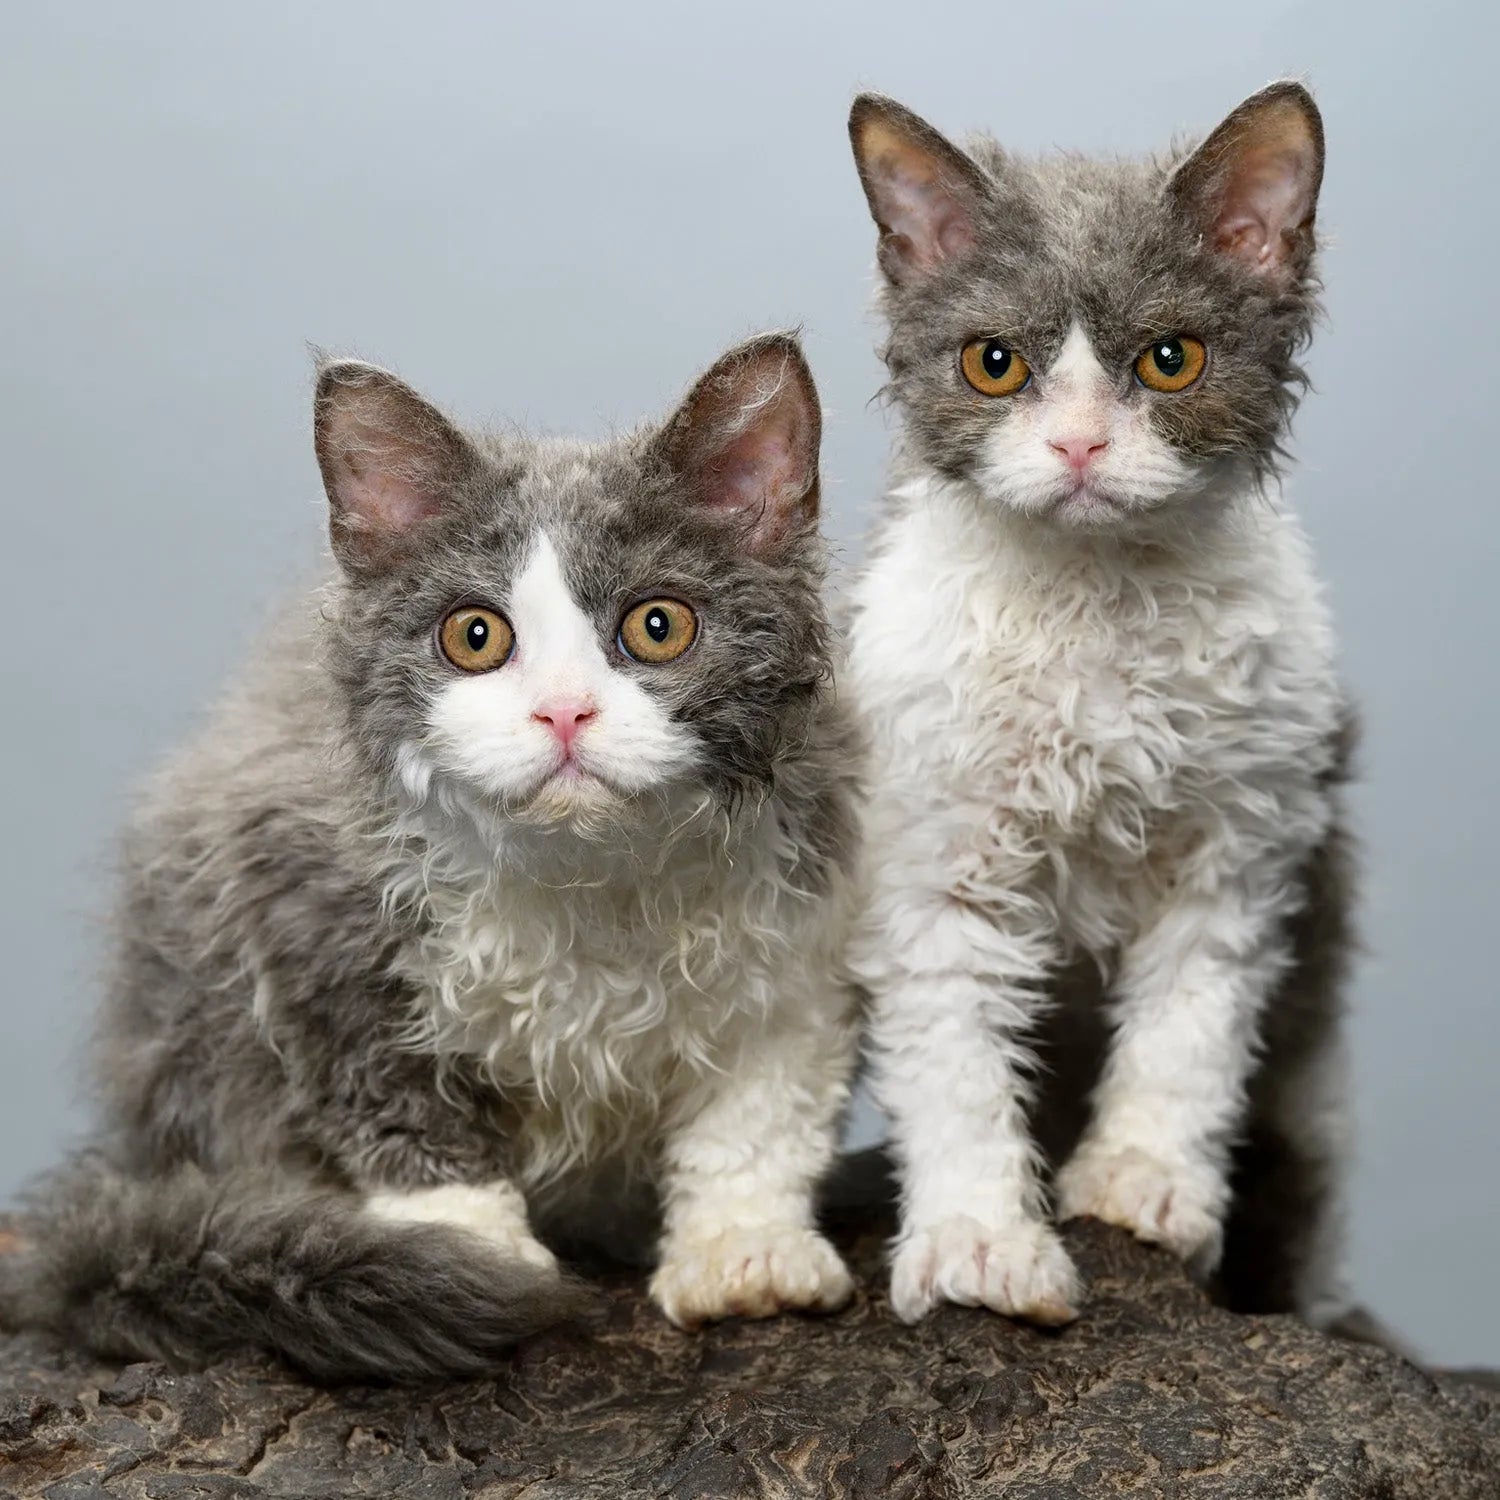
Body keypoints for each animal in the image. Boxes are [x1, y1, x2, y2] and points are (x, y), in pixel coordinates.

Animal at [0, 331, 864, 1380]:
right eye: (475, 635)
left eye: (658, 626)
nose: (563, 713)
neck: (587, 878)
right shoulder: (301, 900)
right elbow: (398, 1104)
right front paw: (465, 1247)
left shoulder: (808, 925)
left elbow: (760, 1111)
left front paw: (746, 1249)